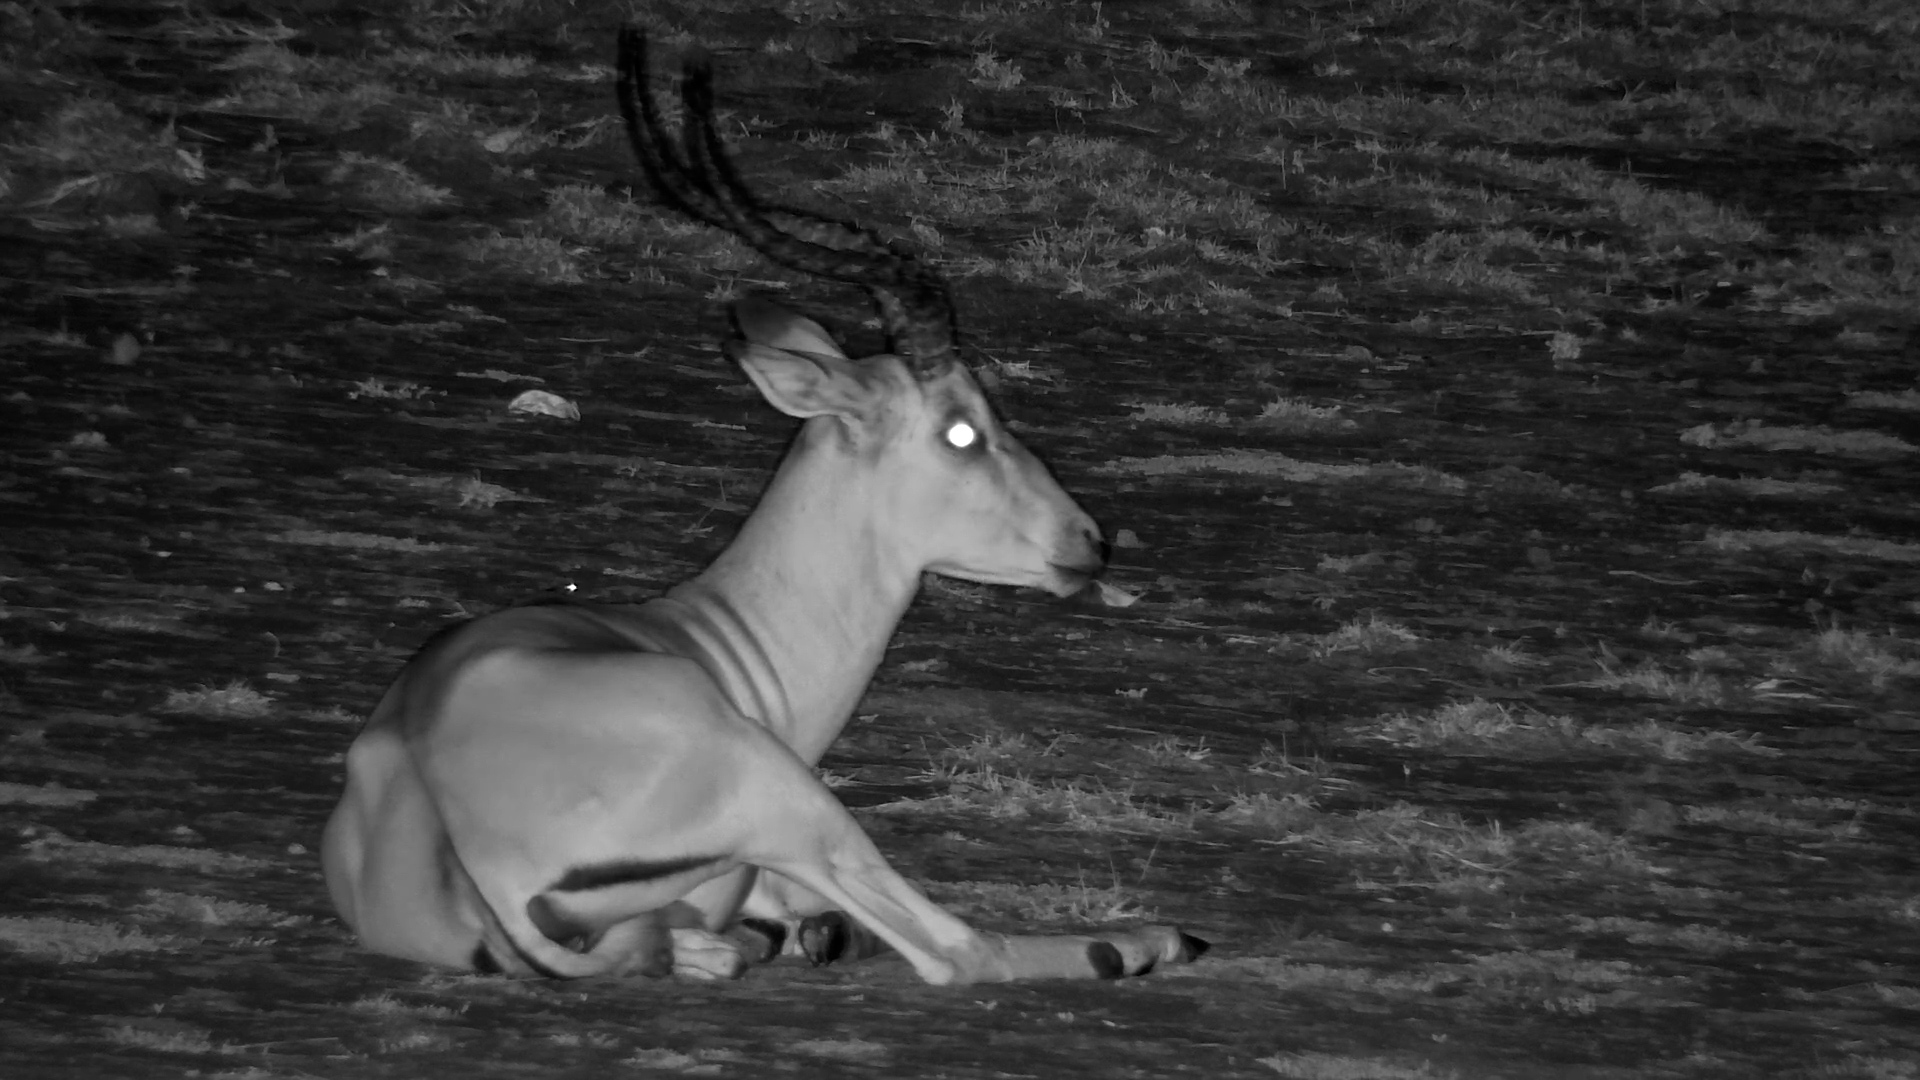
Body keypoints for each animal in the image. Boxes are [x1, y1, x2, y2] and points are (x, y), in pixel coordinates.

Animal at [318, 28, 1205, 985]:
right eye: (964, 429)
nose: (1087, 541)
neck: (714, 639)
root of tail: (450, 828)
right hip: (792, 806)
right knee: (959, 953)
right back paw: (1148, 940)